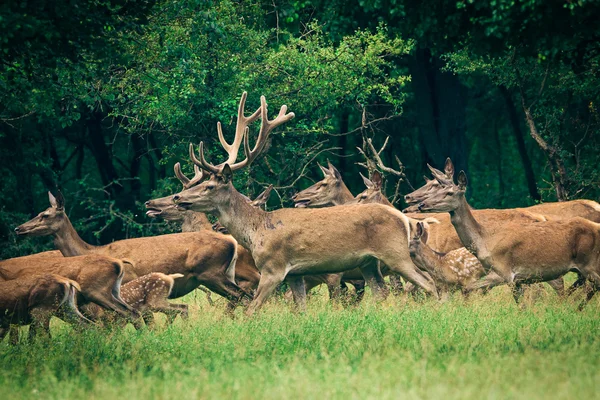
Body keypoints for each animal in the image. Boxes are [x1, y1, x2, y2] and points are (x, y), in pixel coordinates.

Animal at [15, 192, 251, 310]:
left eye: (45, 215)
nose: (19, 229)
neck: (93, 249)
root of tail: (231, 242)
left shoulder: (127, 281)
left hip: (211, 273)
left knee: (243, 296)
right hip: (224, 274)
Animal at [171, 92, 438, 314]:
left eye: (209, 186)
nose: (177, 197)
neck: (256, 231)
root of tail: (403, 218)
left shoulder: (273, 268)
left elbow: (252, 310)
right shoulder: (295, 274)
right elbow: (300, 309)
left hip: (395, 253)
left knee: (428, 282)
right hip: (369, 262)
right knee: (382, 292)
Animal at [406, 159, 600, 306]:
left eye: (449, 192)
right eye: (438, 187)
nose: (420, 204)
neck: (483, 241)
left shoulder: (505, 272)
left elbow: (468, 289)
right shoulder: (515, 278)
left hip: (583, 264)